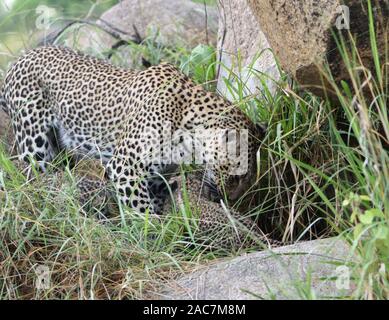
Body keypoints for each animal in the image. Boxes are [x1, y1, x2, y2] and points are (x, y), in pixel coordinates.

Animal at [0, 45, 264, 215]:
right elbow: (142, 210)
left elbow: (153, 203)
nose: (229, 200)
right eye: (236, 176)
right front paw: (156, 239)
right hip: (35, 146)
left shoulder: (157, 176)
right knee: (35, 180)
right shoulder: (125, 168)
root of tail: (18, 60)